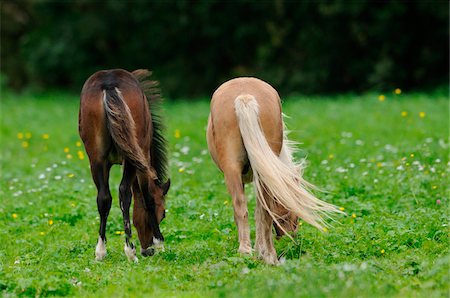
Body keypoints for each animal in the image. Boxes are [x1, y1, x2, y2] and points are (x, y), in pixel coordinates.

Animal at [78, 68, 170, 262]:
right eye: (163, 213)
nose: (147, 251)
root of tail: (109, 83)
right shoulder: (143, 161)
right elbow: (148, 198)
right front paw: (159, 243)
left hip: (96, 159)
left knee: (104, 197)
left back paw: (101, 250)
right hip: (131, 159)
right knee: (124, 193)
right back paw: (130, 250)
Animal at [207, 78, 342, 264]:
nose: (292, 235)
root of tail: (244, 96)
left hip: (236, 170)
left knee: (247, 207)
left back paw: (252, 252)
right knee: (261, 209)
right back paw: (267, 256)